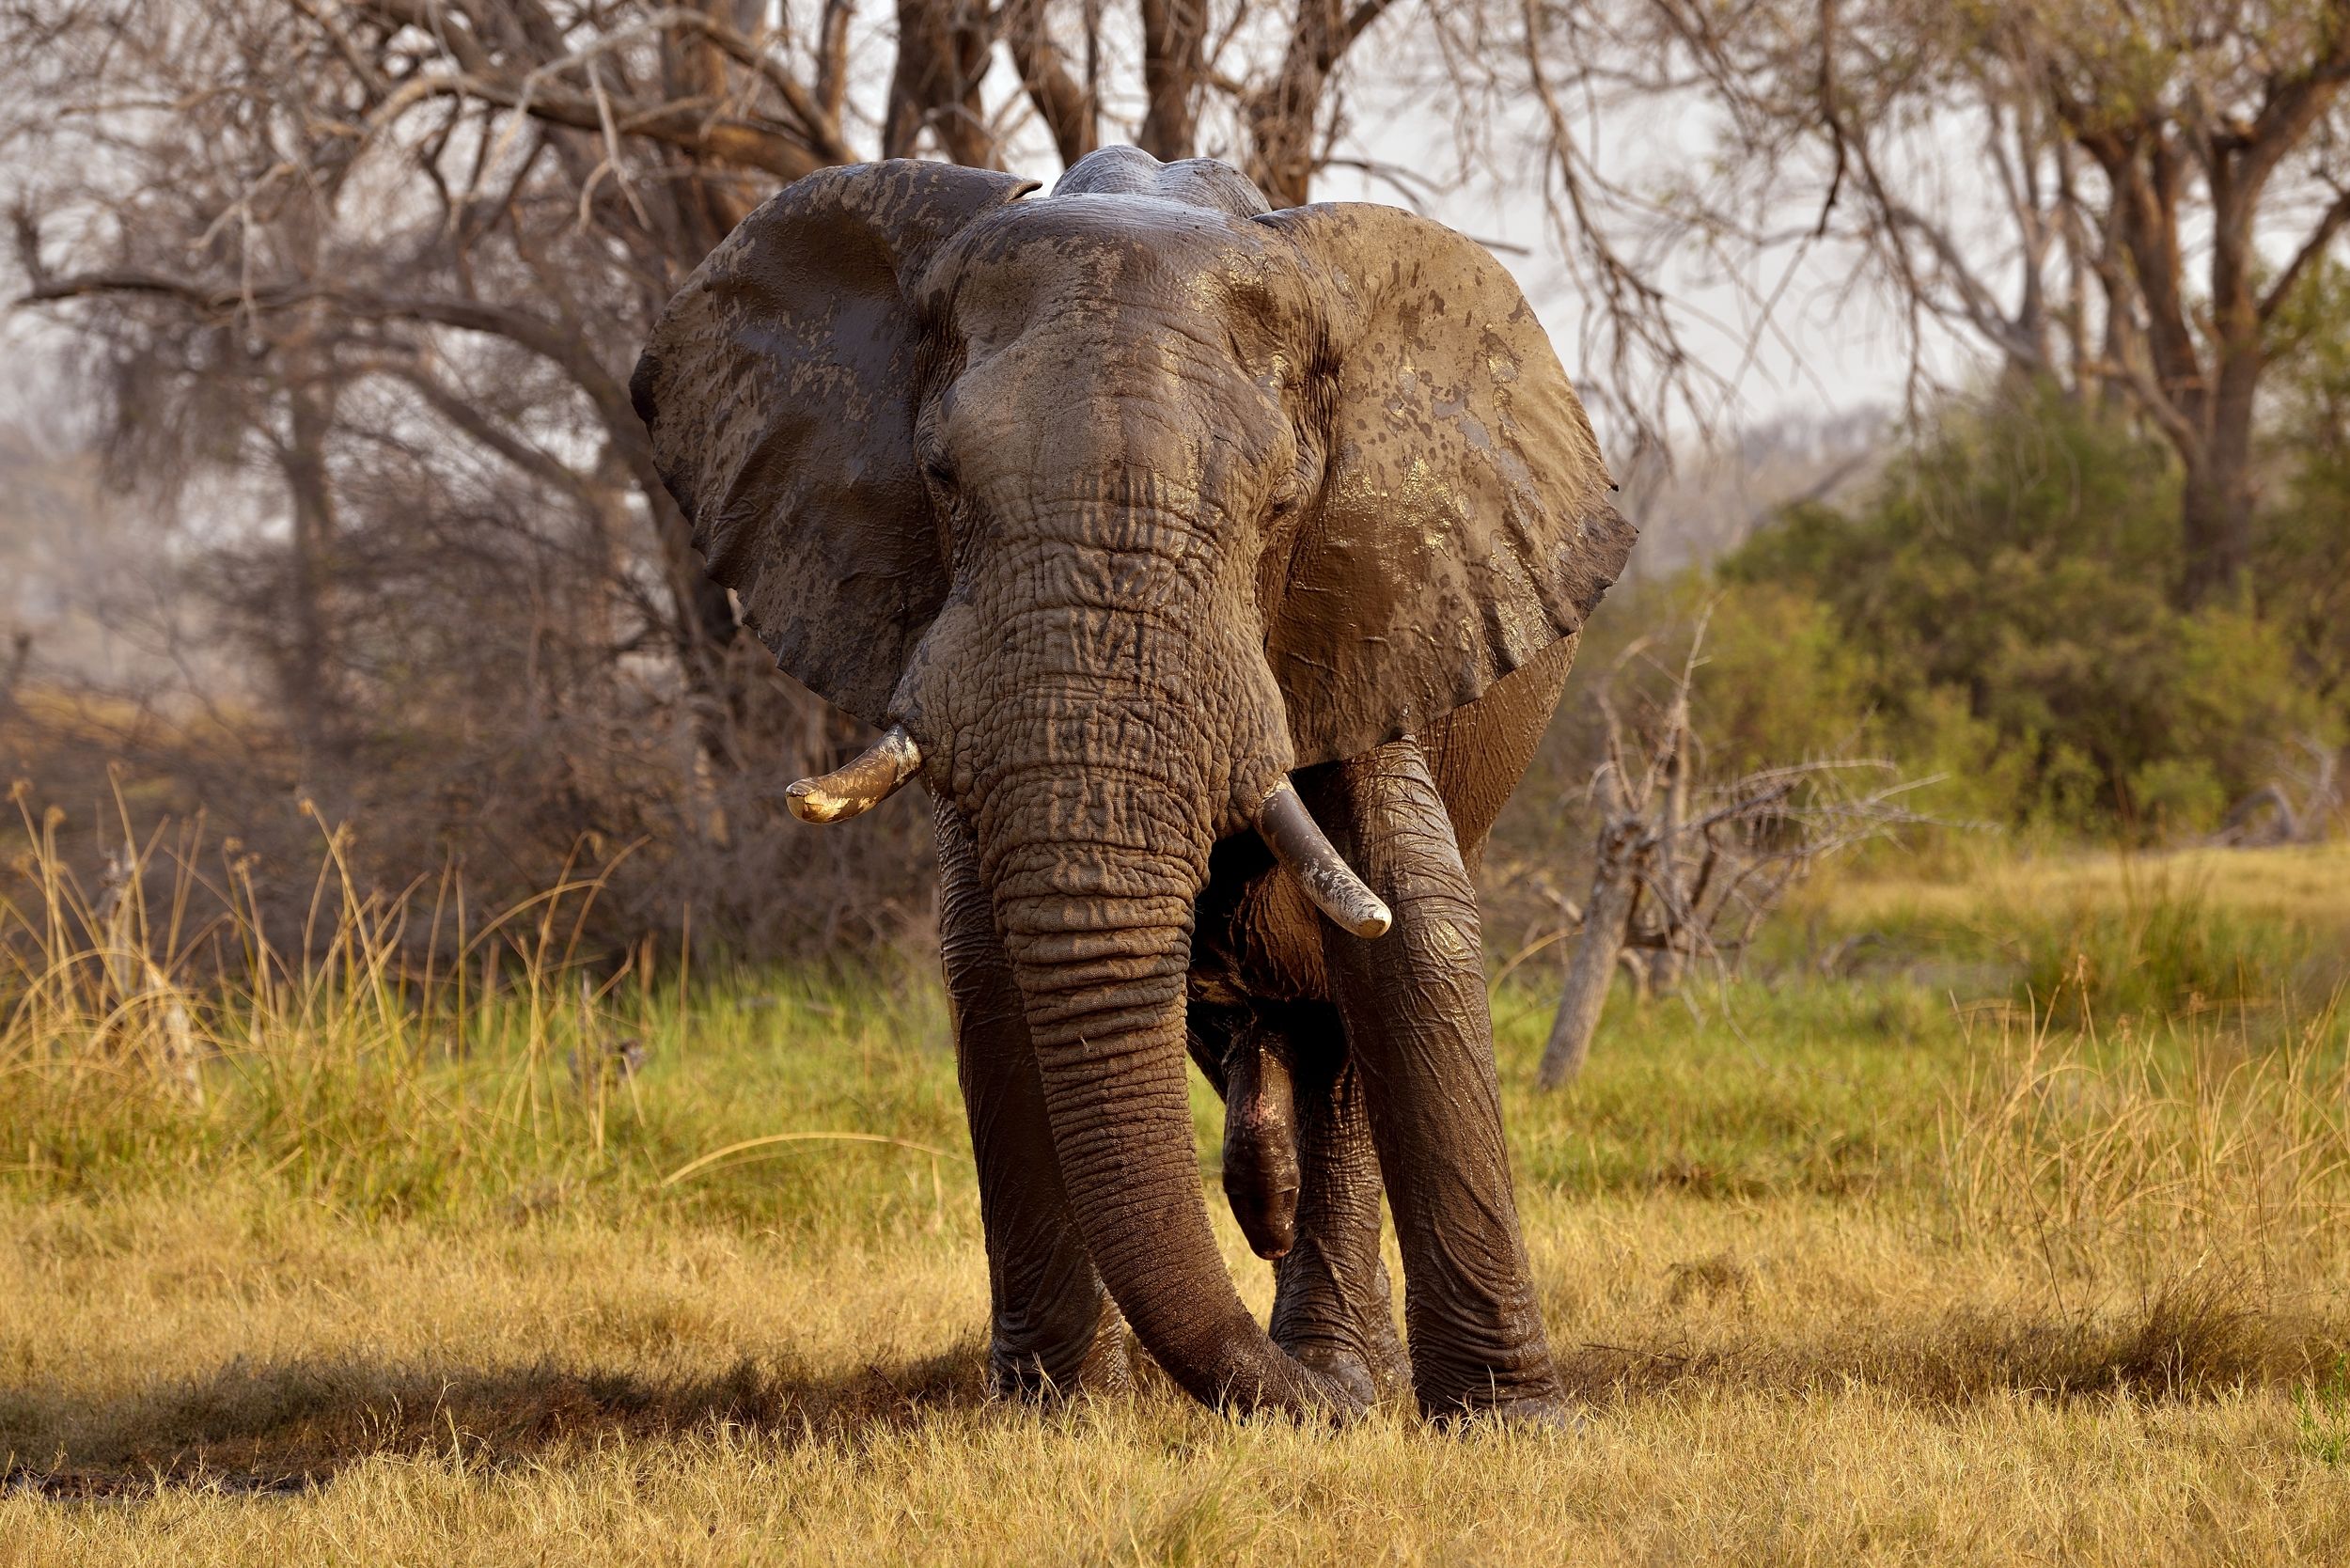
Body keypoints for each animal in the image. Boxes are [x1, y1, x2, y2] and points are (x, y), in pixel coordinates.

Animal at [630, 146, 1636, 1423]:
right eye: (940, 479)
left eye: (1278, 507)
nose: (1326, 1410)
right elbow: (986, 956)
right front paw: (1056, 1413)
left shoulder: (1373, 603)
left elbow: (1411, 928)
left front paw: (1510, 1423)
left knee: (1333, 1034)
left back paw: (1339, 1355)